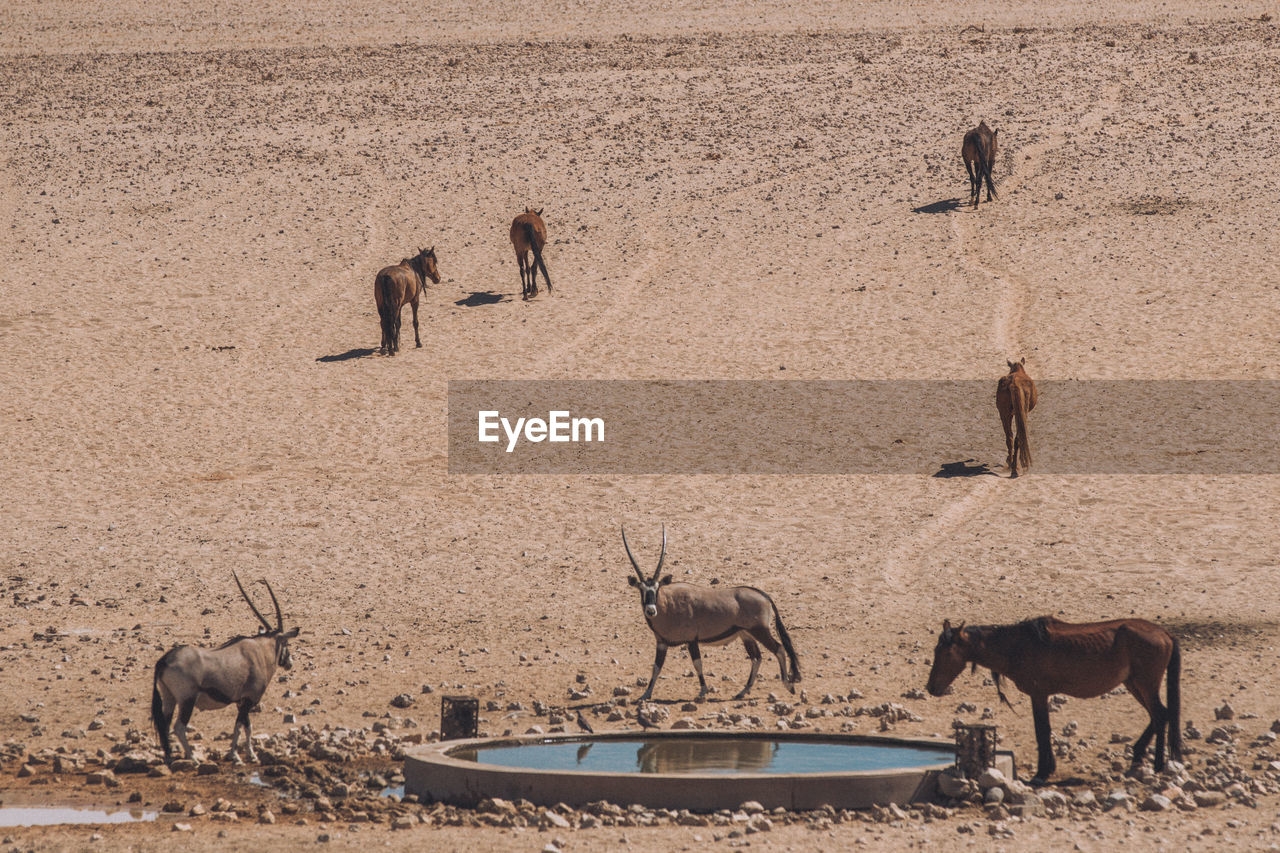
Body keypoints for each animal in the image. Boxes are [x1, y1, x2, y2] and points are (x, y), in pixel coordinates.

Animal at [926, 612, 1182, 783]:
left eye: (945, 652)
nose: (930, 687)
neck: (1017, 646)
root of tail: (1165, 633)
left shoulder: (1038, 695)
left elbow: (1042, 731)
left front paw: (1042, 772)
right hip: (1134, 684)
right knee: (1158, 716)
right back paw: (1140, 756)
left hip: (1145, 684)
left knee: (1160, 715)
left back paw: (1158, 764)